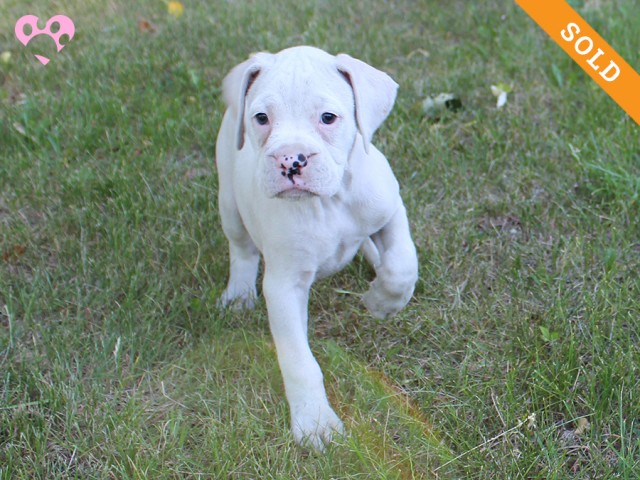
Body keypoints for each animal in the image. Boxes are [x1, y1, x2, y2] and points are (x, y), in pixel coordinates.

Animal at [215, 45, 418, 450]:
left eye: (328, 118)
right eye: (261, 118)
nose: (290, 160)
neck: (331, 199)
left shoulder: (391, 209)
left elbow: (402, 265)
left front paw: (381, 303)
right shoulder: (283, 286)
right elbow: (299, 361)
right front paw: (315, 423)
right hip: (228, 199)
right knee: (241, 249)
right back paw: (239, 293)